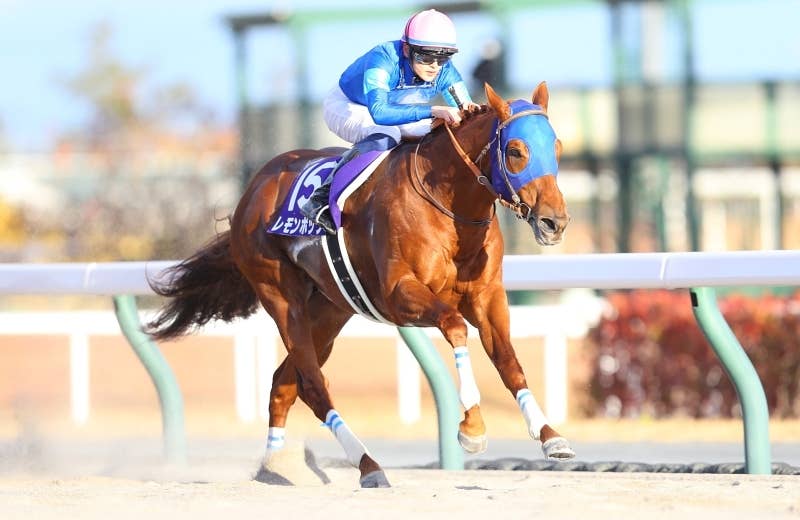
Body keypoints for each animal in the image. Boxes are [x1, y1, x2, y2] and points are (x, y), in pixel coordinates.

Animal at [146, 82, 573, 488]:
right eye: (516, 150)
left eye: (556, 146)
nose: (555, 222)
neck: (449, 207)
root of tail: (251, 193)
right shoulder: (400, 295)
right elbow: (454, 326)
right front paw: (472, 426)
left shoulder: (487, 296)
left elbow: (508, 361)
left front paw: (551, 436)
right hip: (282, 298)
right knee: (313, 385)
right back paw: (369, 466)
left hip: (330, 309)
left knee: (285, 383)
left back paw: (274, 465)